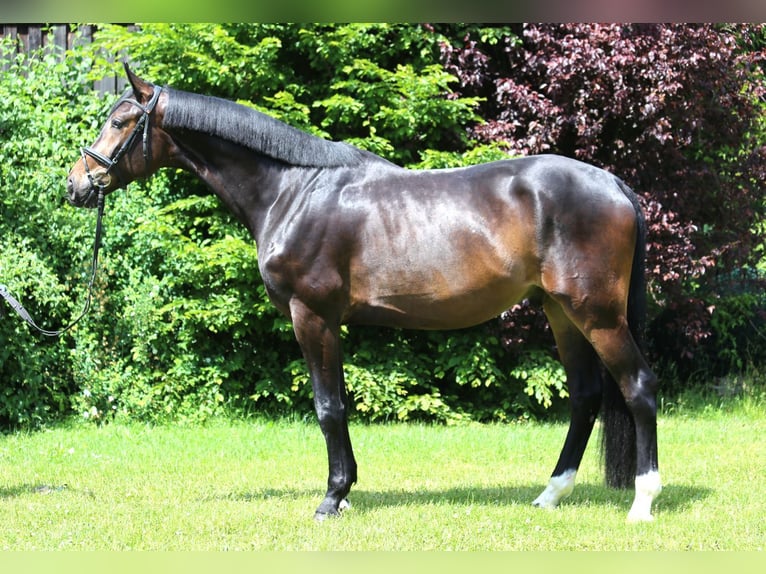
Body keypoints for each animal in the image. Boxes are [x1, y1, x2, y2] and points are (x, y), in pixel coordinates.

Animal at [67, 63, 661, 523]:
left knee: (637, 387)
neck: (293, 190)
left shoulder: (312, 315)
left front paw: (332, 499)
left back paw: (642, 502)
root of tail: (613, 184)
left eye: (118, 120)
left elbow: (328, 407)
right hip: (561, 312)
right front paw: (345, 491)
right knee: (585, 396)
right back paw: (549, 495)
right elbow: (340, 405)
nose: (76, 185)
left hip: (597, 314)